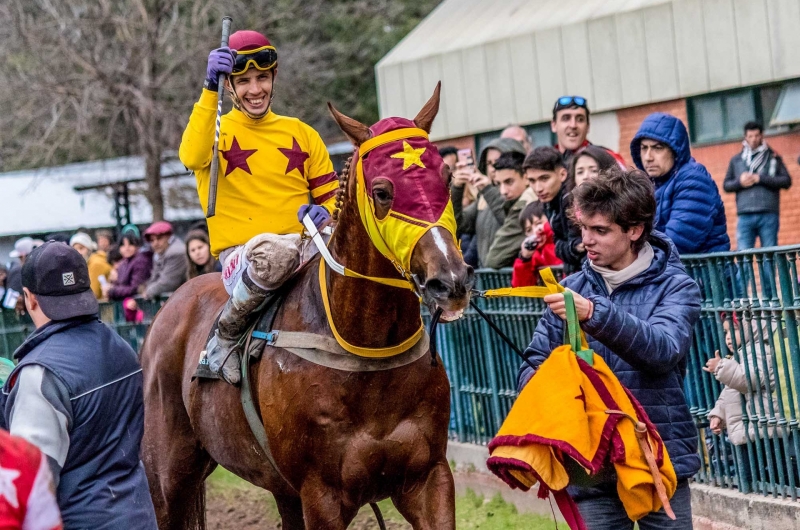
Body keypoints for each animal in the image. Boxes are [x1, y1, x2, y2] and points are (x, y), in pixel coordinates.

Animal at [142, 84, 476, 524]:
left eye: (448, 177)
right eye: (382, 192)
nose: (450, 281)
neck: (366, 351)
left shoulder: (429, 477)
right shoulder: (321, 493)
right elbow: (193, 150)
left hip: (280, 488)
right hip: (168, 474)